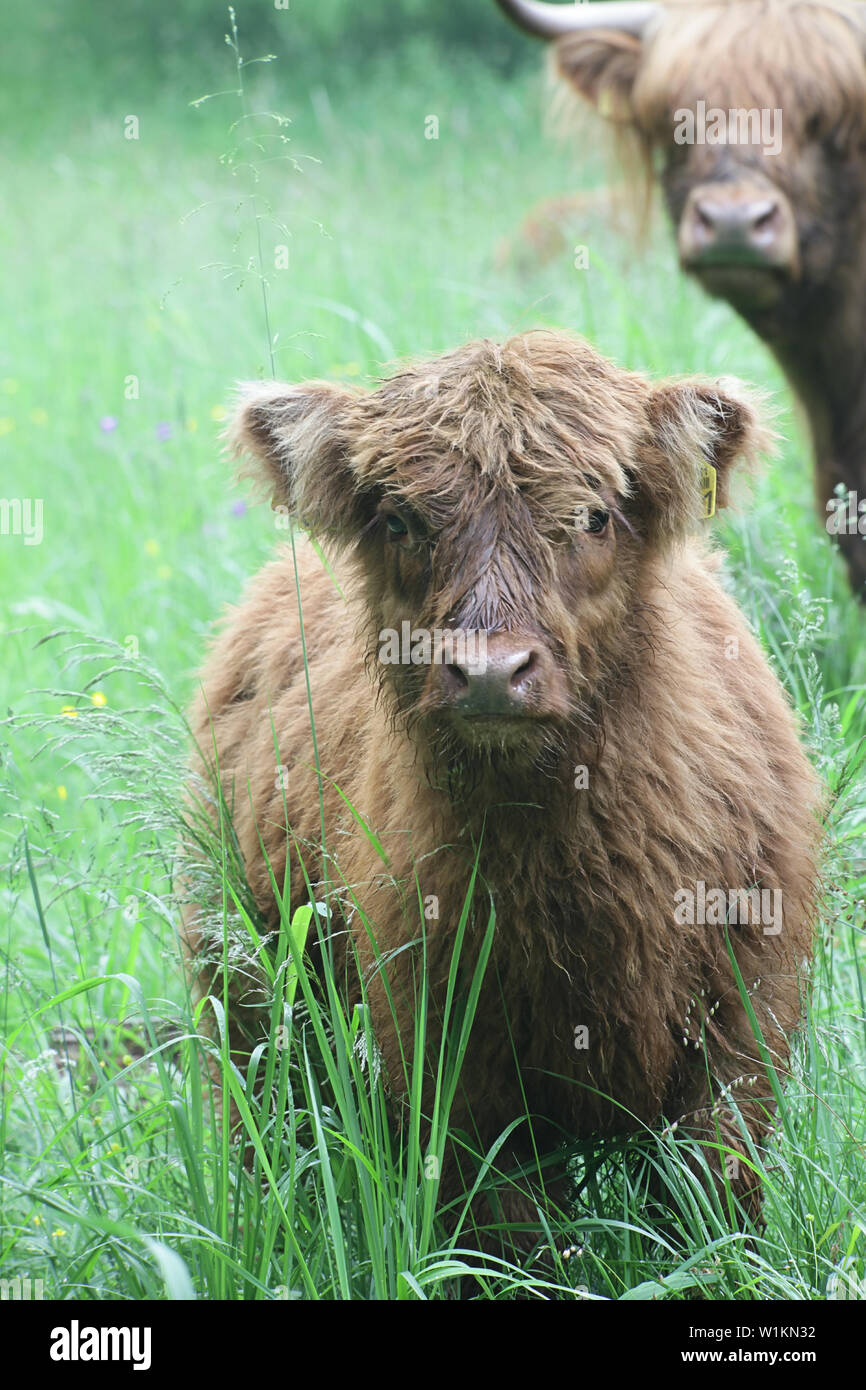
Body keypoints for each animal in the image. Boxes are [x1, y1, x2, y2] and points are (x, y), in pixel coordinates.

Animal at [183, 330, 817, 1245]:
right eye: (401, 520)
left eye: (593, 514)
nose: (490, 672)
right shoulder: (449, 1062)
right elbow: (511, 1234)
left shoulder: (741, 1028)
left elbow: (715, 1204)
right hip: (247, 991)